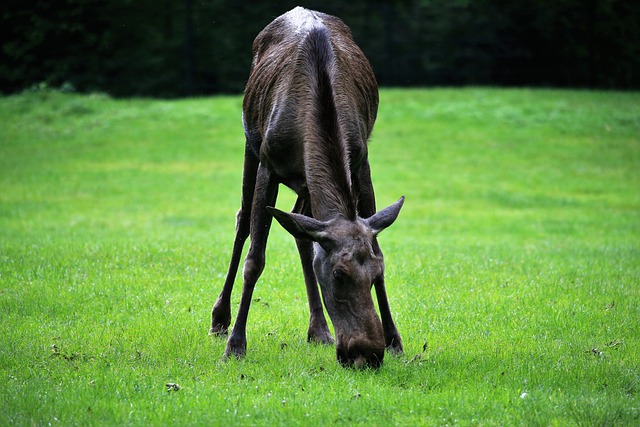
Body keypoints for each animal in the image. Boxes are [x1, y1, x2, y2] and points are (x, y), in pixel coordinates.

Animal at [212, 5, 408, 368]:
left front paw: (395, 341)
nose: (367, 354)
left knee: (300, 229)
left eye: (376, 272)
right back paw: (219, 319)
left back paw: (318, 328)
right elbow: (255, 258)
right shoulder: (268, 163)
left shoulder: (361, 160)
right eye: (339, 274)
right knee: (243, 219)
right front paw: (235, 346)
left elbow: (369, 237)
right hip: (250, 144)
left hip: (304, 183)